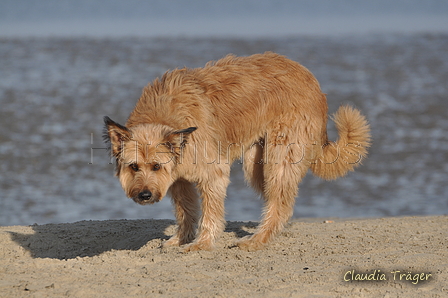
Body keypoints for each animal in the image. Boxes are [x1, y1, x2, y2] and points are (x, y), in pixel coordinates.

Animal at [104, 51, 372, 251]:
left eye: (156, 166)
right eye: (133, 167)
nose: (145, 195)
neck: (166, 116)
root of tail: (312, 80)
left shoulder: (213, 174)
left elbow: (210, 213)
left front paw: (201, 244)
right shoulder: (179, 180)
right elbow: (186, 211)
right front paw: (181, 239)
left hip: (278, 158)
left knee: (279, 203)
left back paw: (257, 240)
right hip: (257, 165)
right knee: (280, 202)